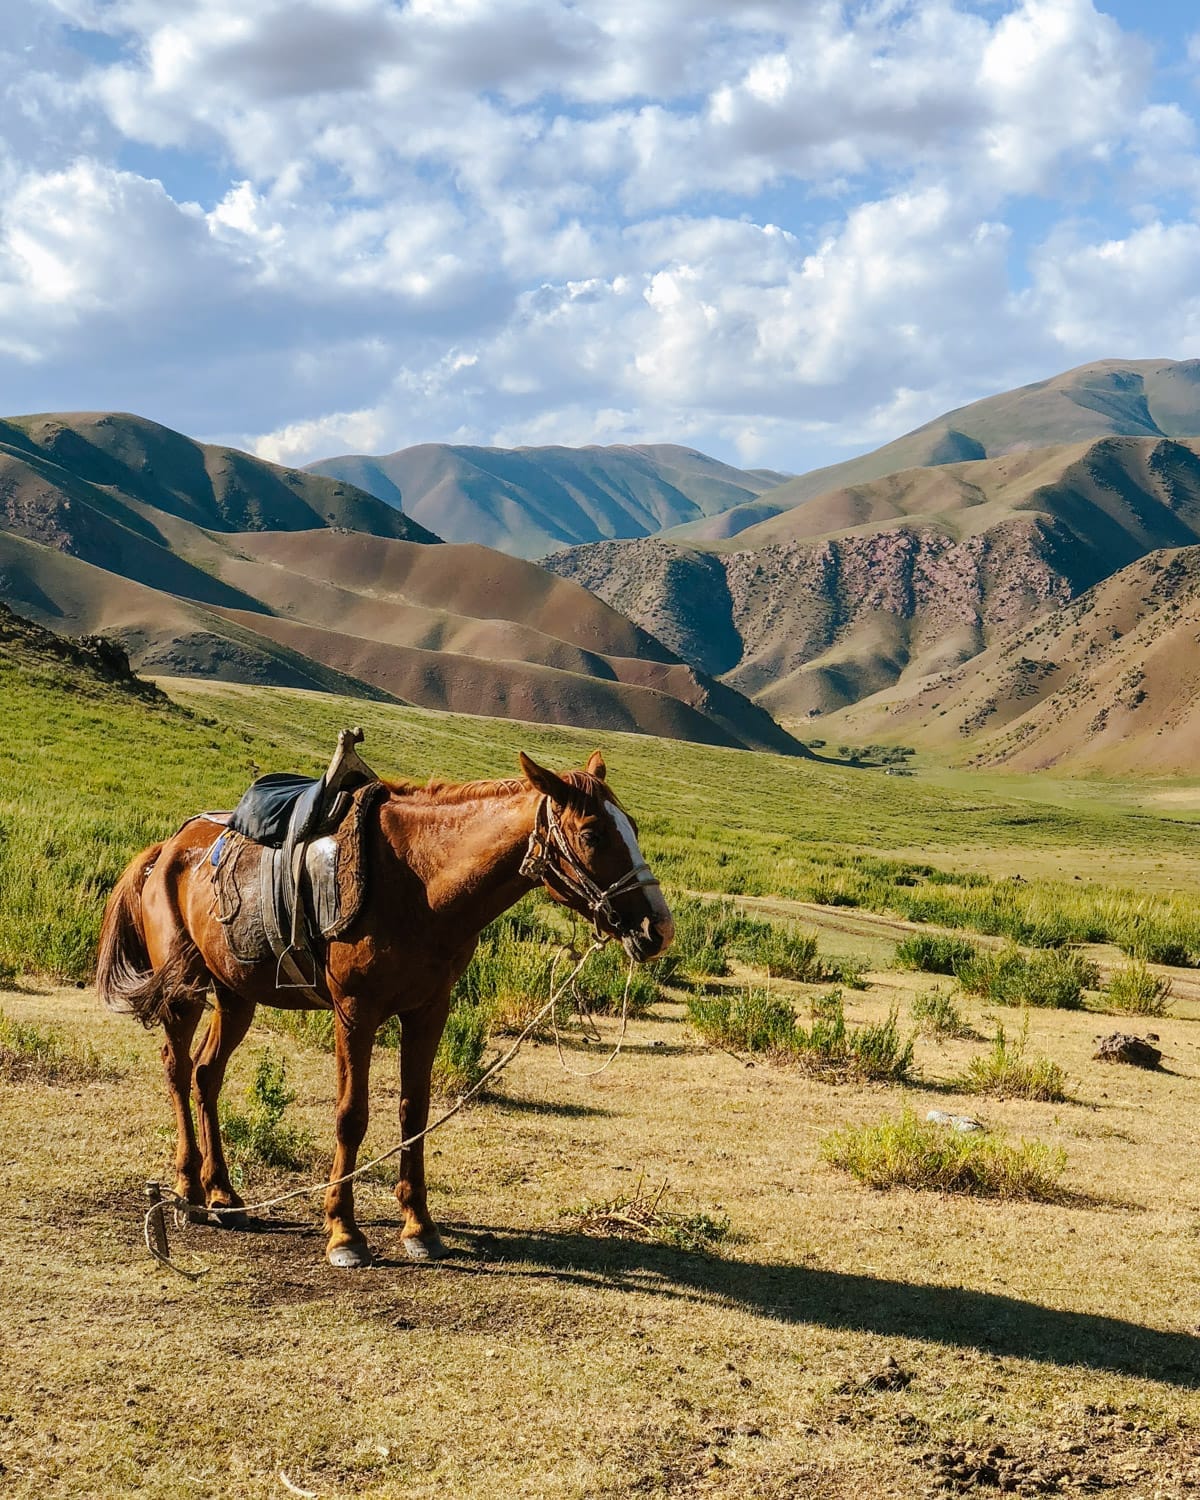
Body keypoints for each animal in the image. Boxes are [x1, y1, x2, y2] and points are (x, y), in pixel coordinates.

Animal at [93, 750, 675, 1266]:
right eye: (593, 834)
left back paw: (224, 1196)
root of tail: (166, 850)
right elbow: (352, 1115)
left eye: (633, 828)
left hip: (236, 995)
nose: (658, 929)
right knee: (176, 1070)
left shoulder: (428, 1010)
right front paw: (344, 1233)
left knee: (206, 1074)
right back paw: (189, 1191)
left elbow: (414, 1112)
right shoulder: (356, 1010)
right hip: (183, 994)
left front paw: (420, 1227)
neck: (421, 884)